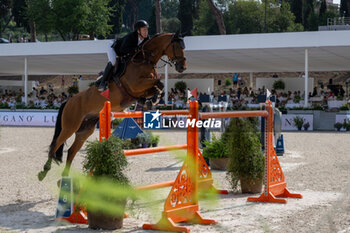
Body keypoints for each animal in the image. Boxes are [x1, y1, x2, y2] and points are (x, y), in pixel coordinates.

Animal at [37, 31, 186, 180]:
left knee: (71, 150)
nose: (182, 67)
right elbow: (156, 83)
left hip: (85, 129)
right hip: (70, 127)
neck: (145, 60)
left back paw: (65, 176)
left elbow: (158, 85)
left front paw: (151, 100)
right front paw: (150, 99)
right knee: (56, 144)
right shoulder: (135, 84)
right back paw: (44, 171)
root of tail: (68, 101)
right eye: (177, 46)